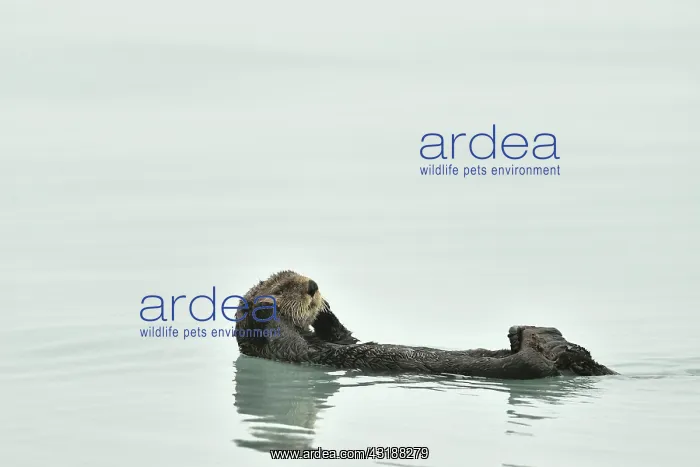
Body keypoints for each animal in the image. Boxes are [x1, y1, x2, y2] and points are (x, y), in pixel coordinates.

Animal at [235, 270, 616, 379]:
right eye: (282, 287)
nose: (312, 285)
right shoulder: (290, 351)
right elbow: (293, 342)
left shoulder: (337, 341)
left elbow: (347, 338)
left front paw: (327, 310)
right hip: (524, 368)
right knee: (534, 363)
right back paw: (535, 338)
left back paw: (531, 334)